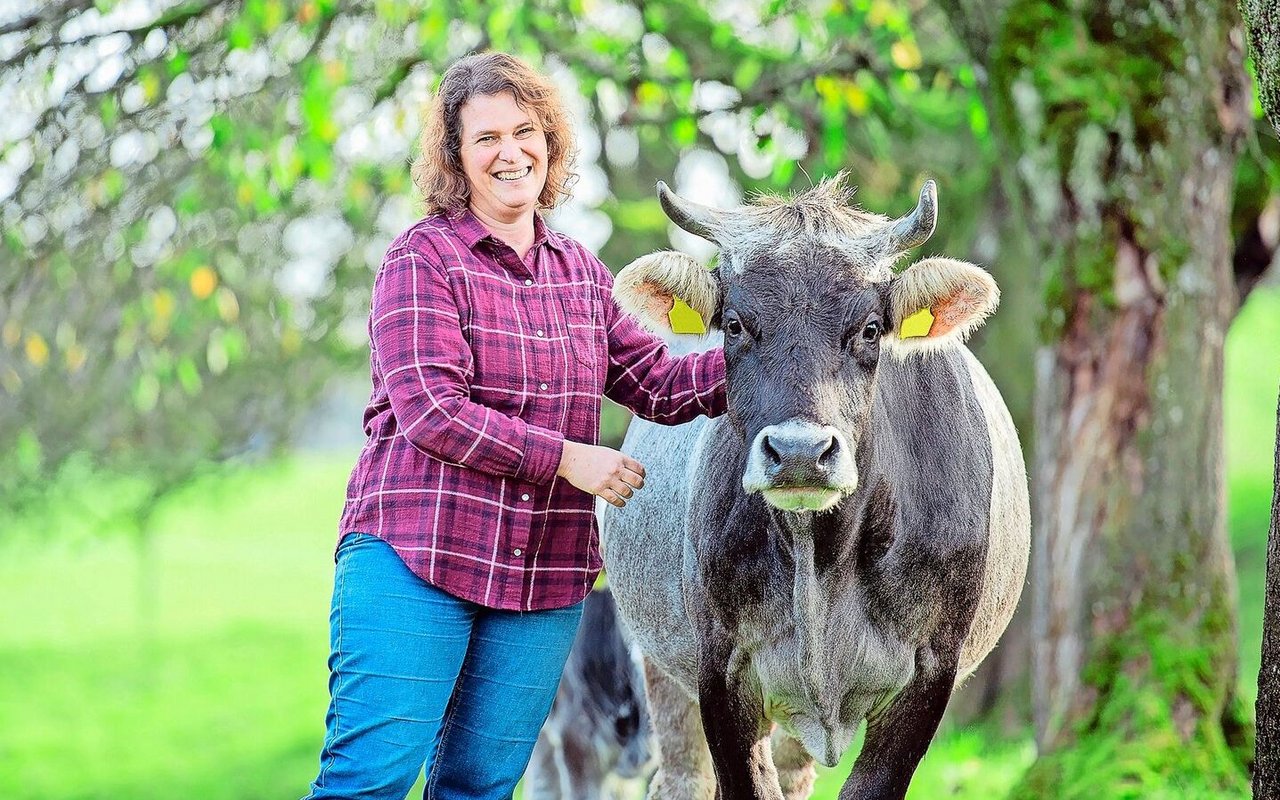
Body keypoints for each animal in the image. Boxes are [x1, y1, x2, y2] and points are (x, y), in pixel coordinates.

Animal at [599, 176, 1029, 798]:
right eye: (735, 324)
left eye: (870, 328)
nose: (800, 452)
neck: (822, 554)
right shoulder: (719, 671)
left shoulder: (930, 673)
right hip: (662, 669)